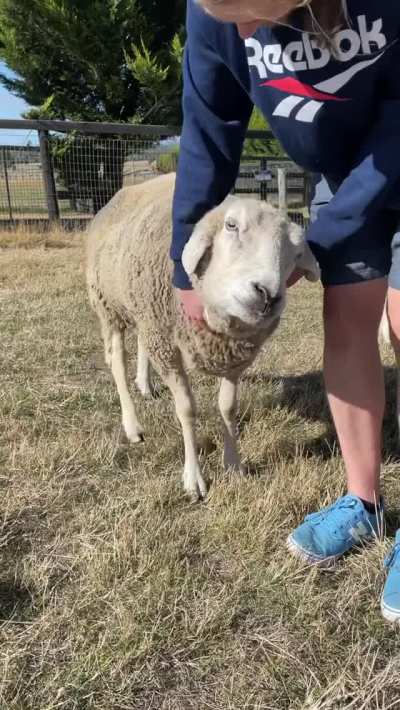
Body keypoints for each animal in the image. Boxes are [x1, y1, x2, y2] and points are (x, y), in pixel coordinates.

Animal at [86, 173, 320, 501]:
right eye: (231, 225)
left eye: (297, 253)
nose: (267, 294)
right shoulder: (167, 346)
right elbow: (186, 409)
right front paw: (193, 478)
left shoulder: (234, 356)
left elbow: (228, 407)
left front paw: (233, 464)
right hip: (109, 306)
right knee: (117, 361)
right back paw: (132, 426)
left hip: (145, 314)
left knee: (142, 344)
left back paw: (145, 385)